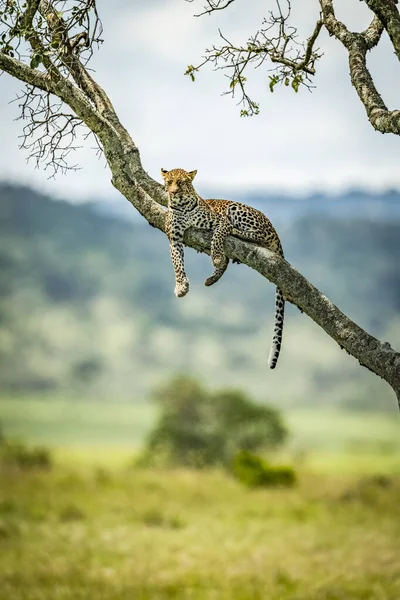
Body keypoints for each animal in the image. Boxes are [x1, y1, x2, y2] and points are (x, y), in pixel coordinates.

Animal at [161, 166, 286, 368]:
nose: (173, 193)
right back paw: (212, 278)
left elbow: (218, 236)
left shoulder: (220, 221)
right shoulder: (174, 237)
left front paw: (217, 256)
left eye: (181, 183)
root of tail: (275, 231)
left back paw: (237, 234)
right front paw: (181, 286)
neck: (182, 206)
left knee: (258, 235)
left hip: (237, 210)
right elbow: (177, 263)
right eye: (168, 182)